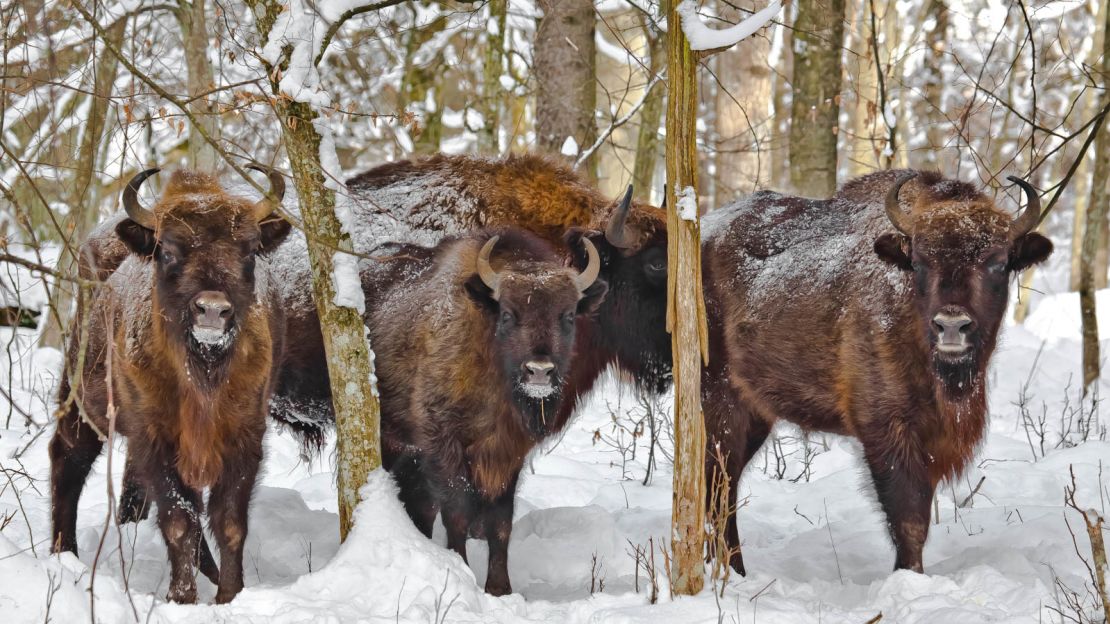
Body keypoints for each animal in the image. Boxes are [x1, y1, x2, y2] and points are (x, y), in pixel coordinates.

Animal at [49, 165, 293, 604]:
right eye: (168, 250)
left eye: (249, 251)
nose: (212, 310)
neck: (203, 375)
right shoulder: (158, 438)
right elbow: (179, 519)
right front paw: (182, 597)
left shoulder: (244, 436)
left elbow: (228, 521)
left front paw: (229, 594)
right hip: (80, 396)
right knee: (68, 458)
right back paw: (64, 554)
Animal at [368, 227, 608, 590]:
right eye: (507, 314)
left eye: (567, 315)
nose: (539, 371)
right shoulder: (444, 444)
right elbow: (457, 512)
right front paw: (462, 571)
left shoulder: (508, 454)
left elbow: (500, 521)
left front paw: (499, 588)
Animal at [697, 168, 1052, 572]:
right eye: (919, 262)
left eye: (997, 263)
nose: (951, 325)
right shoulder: (887, 430)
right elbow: (909, 518)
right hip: (721, 399)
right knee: (718, 484)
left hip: (756, 413)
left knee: (724, 487)